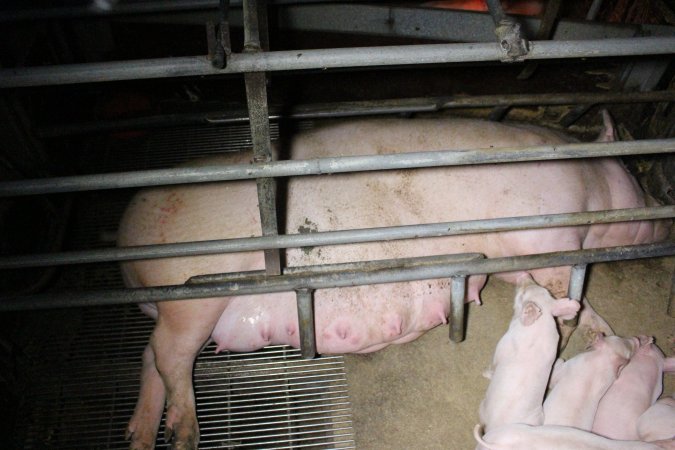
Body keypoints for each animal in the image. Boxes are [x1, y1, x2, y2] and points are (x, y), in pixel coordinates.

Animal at [478, 272, 580, 430]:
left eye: (523, 295)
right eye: (546, 290)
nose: (525, 273)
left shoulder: (501, 348)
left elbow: (492, 366)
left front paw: (484, 372)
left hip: (482, 407)